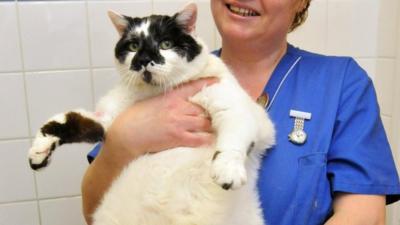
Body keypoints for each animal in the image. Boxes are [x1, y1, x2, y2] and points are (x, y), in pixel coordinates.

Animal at [27, 3, 276, 225]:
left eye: (165, 44)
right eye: (133, 46)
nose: (144, 60)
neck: (158, 92)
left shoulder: (240, 108)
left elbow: (234, 134)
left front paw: (227, 169)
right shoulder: (107, 120)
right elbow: (73, 120)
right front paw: (40, 149)